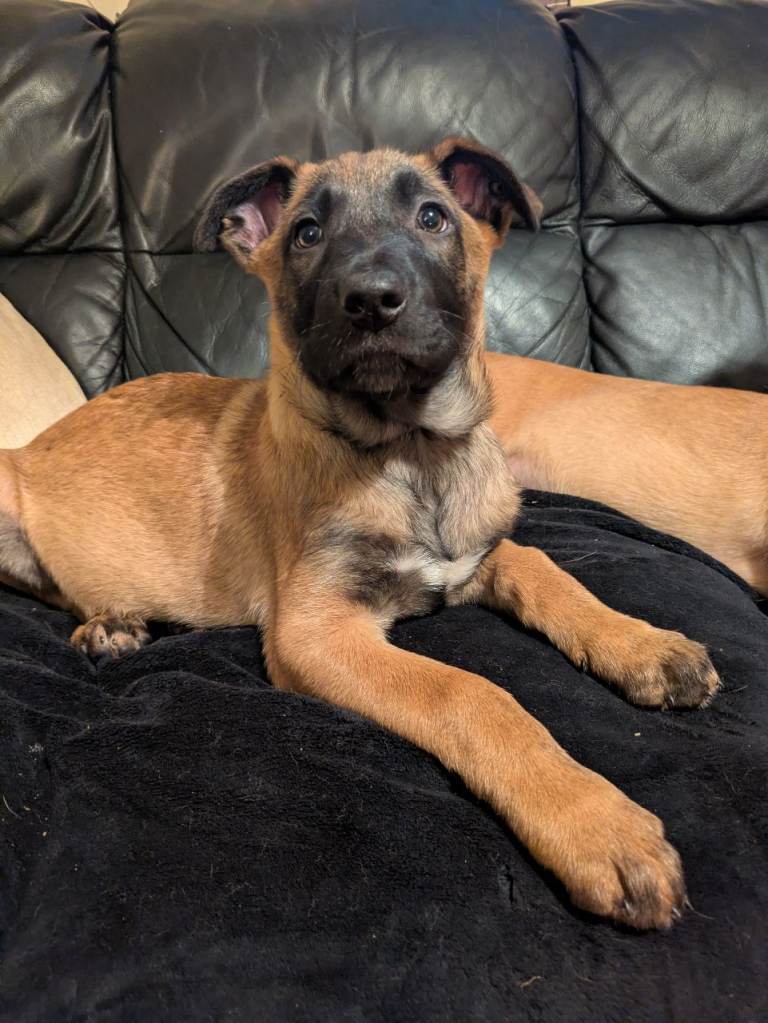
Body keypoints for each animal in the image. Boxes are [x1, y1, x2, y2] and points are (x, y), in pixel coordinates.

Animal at [0, 139, 720, 929]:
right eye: (307, 233)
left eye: (434, 217)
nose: (372, 299)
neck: (411, 453)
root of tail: (32, 445)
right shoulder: (315, 631)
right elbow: (471, 694)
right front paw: (595, 822)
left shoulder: (477, 557)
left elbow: (548, 571)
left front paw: (645, 646)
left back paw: (113, 624)